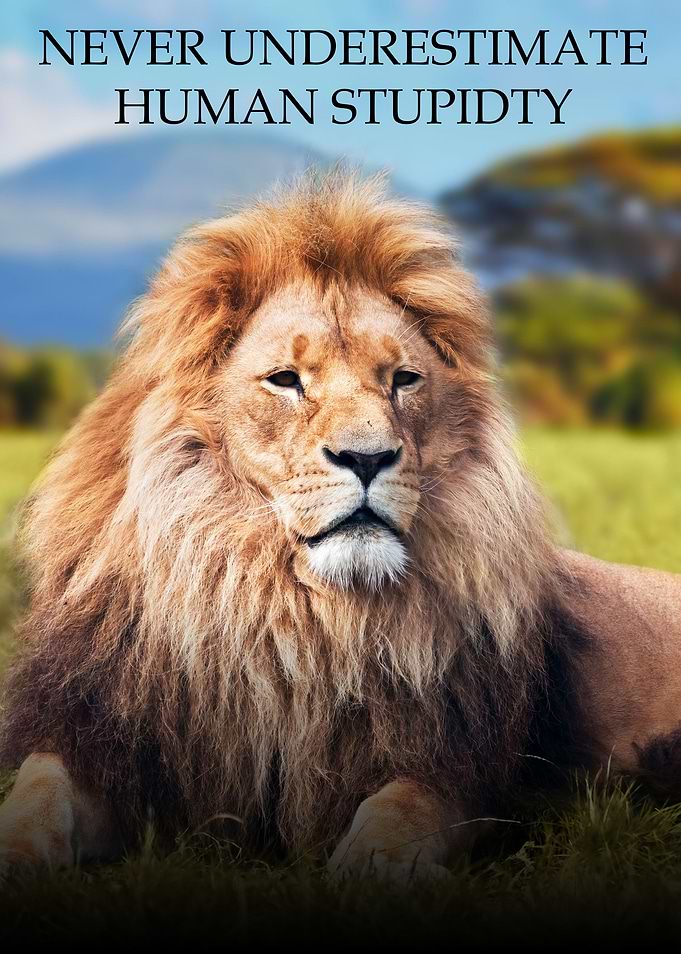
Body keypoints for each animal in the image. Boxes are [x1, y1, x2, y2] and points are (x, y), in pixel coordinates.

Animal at [1, 174, 680, 883]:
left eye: (403, 379)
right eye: (285, 380)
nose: (368, 457)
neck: (291, 613)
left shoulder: (453, 767)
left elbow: (398, 815)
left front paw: (369, 872)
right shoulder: (98, 739)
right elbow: (37, 793)